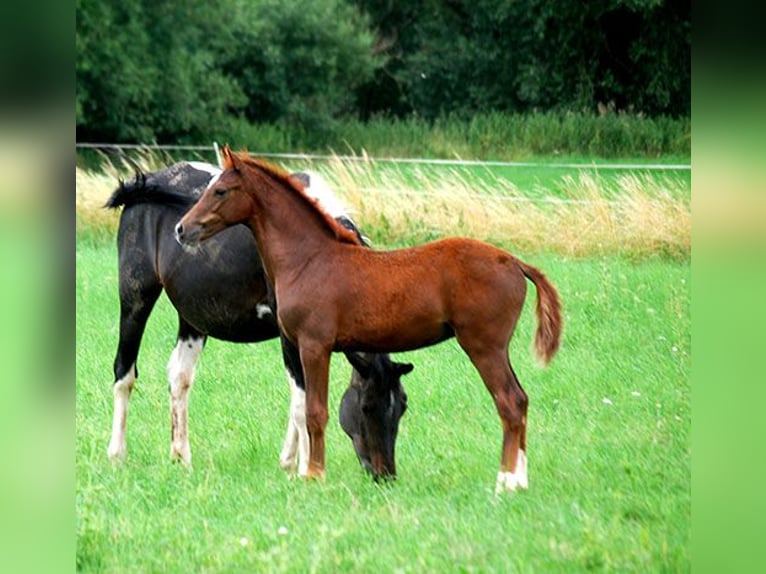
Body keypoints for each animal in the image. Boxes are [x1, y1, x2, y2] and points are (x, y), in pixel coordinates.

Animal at [104, 161, 413, 478]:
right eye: (366, 406)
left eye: (402, 406)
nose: (384, 474)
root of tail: (148, 180)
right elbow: (303, 403)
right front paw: (306, 469)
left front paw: (290, 463)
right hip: (135, 298)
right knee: (124, 373)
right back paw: (117, 454)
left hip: (193, 317)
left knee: (179, 376)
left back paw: (181, 457)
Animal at [175, 147, 563, 493]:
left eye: (221, 190)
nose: (182, 229)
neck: (309, 259)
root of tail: (514, 262)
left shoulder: (315, 346)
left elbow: (315, 411)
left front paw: (314, 475)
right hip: (498, 349)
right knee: (521, 400)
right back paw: (520, 481)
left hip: (484, 347)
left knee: (509, 402)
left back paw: (505, 482)